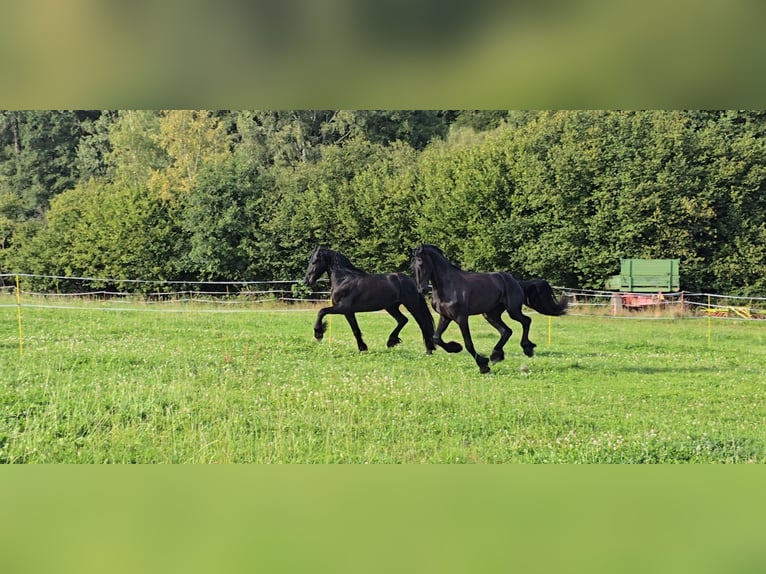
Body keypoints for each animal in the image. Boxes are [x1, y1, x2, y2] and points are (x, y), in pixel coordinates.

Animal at [303, 246, 462, 355]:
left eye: (315, 261)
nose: (307, 281)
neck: (344, 279)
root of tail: (411, 281)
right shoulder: (348, 311)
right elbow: (355, 329)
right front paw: (363, 347)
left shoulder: (343, 308)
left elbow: (321, 311)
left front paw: (318, 333)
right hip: (391, 307)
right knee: (403, 320)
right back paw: (392, 341)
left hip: (411, 305)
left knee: (422, 324)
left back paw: (428, 349)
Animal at [410, 244, 567, 373]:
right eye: (412, 266)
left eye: (421, 261)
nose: (422, 289)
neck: (448, 285)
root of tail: (515, 281)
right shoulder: (446, 317)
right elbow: (436, 338)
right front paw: (455, 348)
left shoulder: (461, 318)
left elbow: (468, 343)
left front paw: (483, 365)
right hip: (491, 314)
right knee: (506, 331)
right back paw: (496, 356)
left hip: (513, 311)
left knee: (526, 321)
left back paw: (527, 349)